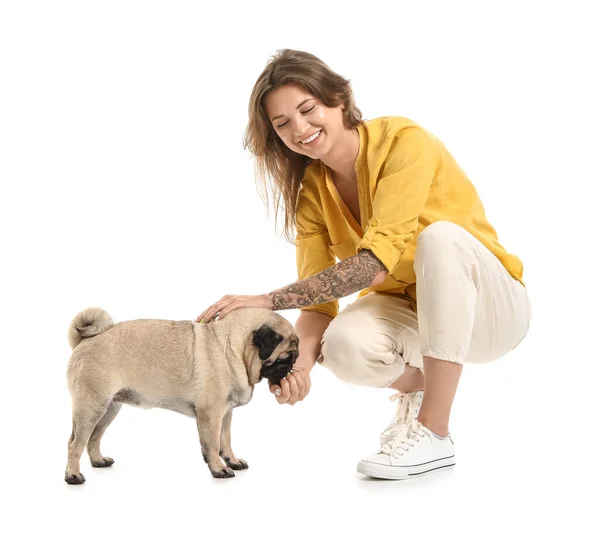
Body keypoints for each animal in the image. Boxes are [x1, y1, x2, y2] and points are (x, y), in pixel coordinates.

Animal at [64, 306, 298, 484]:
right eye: (285, 357)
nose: (291, 367)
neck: (232, 349)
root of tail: (83, 341)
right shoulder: (211, 414)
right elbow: (213, 444)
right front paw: (219, 469)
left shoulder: (226, 414)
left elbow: (225, 440)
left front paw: (232, 461)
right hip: (92, 405)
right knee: (75, 443)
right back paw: (73, 476)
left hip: (109, 408)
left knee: (93, 438)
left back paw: (99, 461)